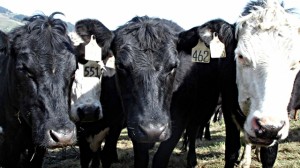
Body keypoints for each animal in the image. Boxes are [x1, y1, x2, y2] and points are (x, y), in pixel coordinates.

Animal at [71, 26, 124, 167]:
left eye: (101, 69)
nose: (88, 111)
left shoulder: (115, 126)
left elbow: (106, 155)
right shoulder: (80, 132)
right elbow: (85, 158)